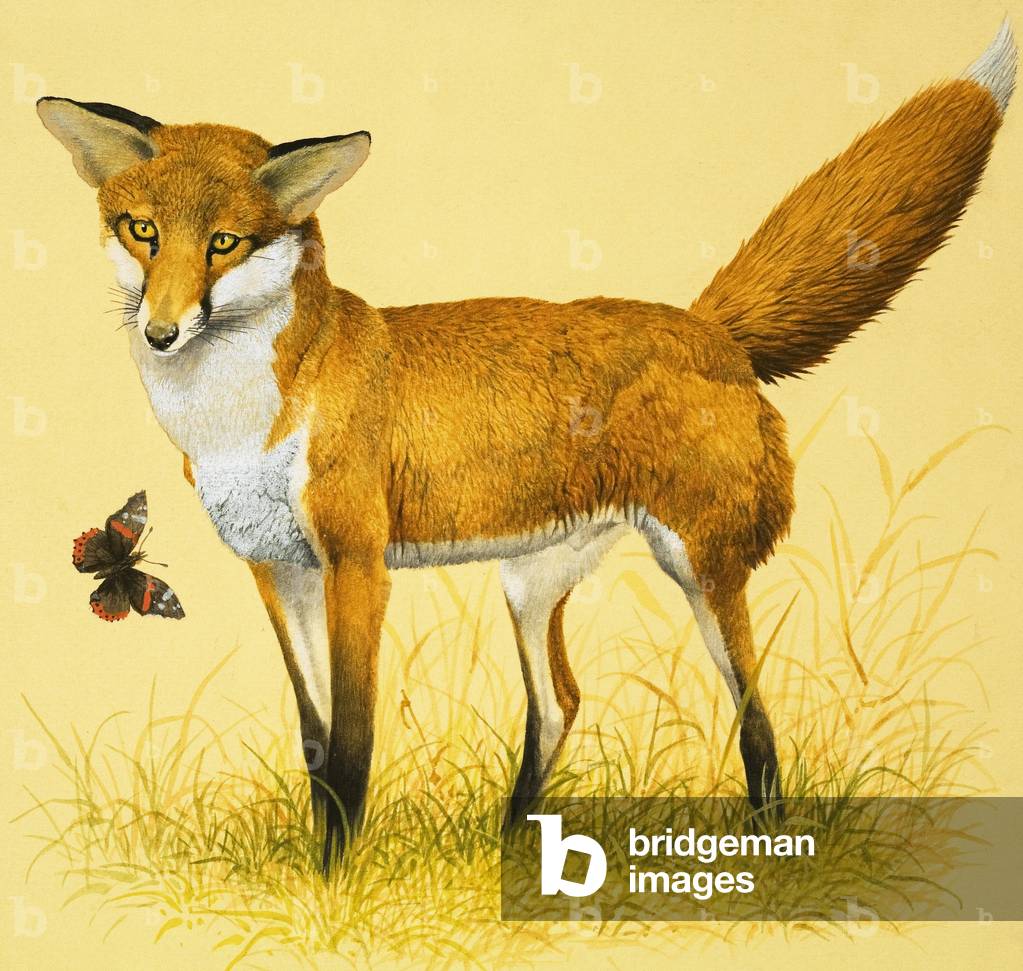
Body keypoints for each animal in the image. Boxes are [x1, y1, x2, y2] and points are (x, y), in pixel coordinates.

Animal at [38, 23, 1016, 874]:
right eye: (143, 231)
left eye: (224, 243)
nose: (162, 332)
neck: (241, 417)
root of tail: (710, 329)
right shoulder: (278, 569)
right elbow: (314, 744)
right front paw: (320, 871)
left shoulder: (356, 559)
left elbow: (351, 743)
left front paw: (336, 886)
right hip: (530, 582)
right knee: (560, 704)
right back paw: (510, 850)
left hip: (698, 566)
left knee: (753, 710)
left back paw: (769, 849)